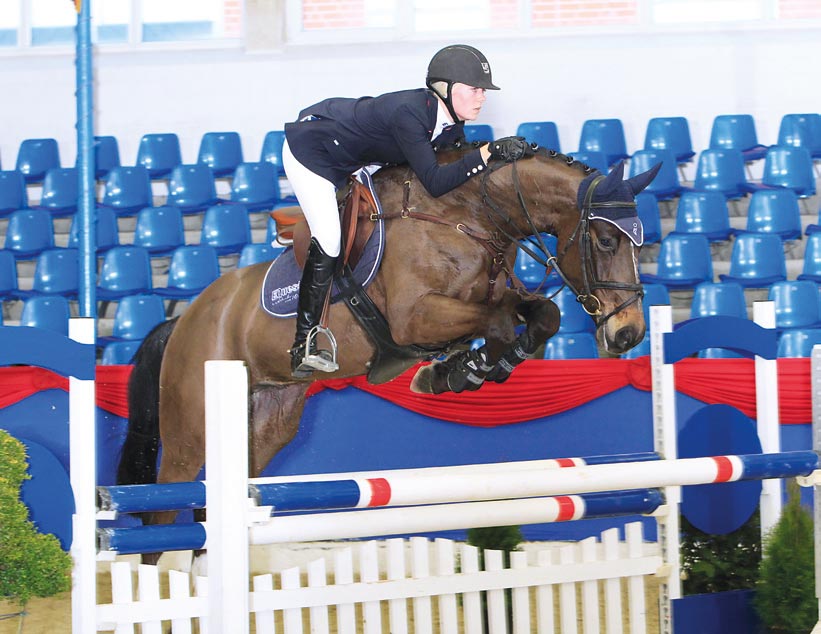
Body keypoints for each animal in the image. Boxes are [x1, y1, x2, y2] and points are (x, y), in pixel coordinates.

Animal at [117, 146, 659, 561]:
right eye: (605, 240)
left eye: (641, 245)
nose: (629, 335)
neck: (466, 217)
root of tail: (183, 320)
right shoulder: (414, 318)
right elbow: (500, 321)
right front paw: (460, 370)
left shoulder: (493, 298)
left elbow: (542, 314)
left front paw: (462, 371)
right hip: (190, 430)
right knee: (164, 513)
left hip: (266, 425)